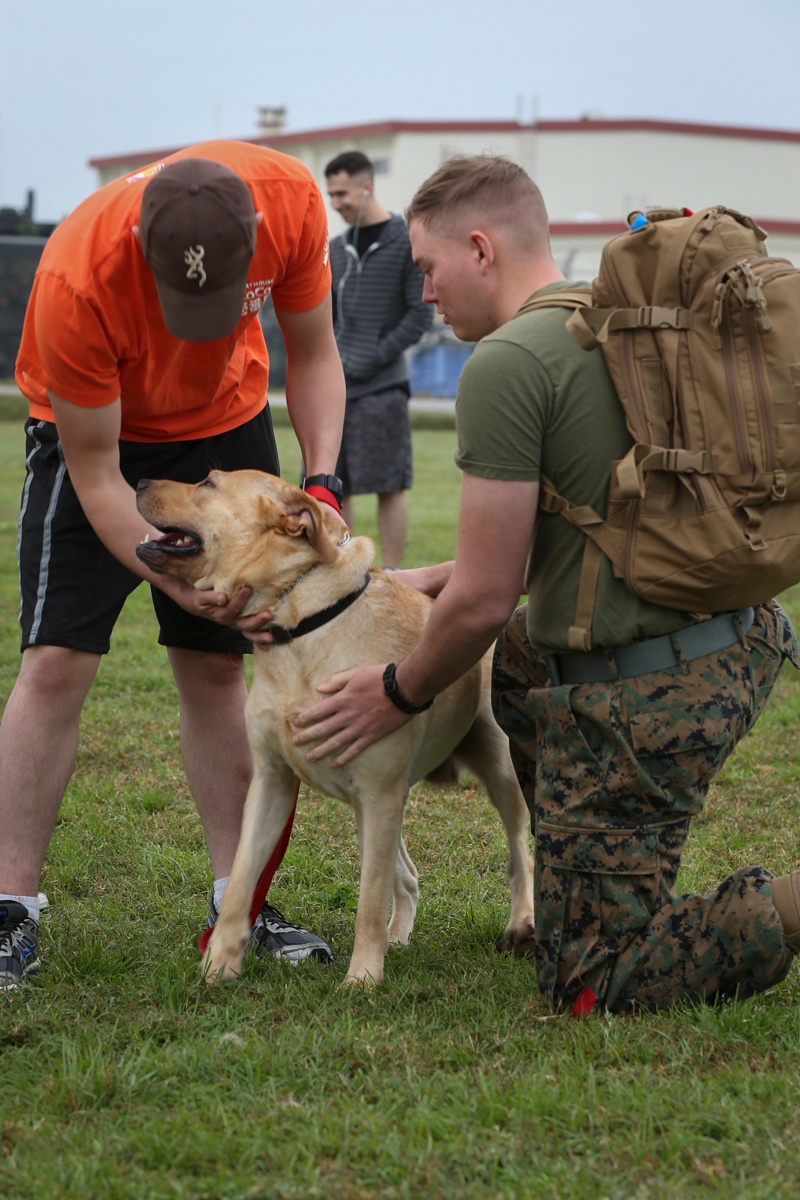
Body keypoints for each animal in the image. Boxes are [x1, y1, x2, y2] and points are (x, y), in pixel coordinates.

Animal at [136, 468, 534, 984]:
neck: (299, 625)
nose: (139, 481)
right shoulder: (273, 783)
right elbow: (244, 877)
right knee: (407, 875)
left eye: (208, 482)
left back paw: (521, 923)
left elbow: (368, 901)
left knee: (518, 850)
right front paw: (219, 961)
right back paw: (399, 935)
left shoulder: (380, 793)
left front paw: (362, 978)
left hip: (495, 775)